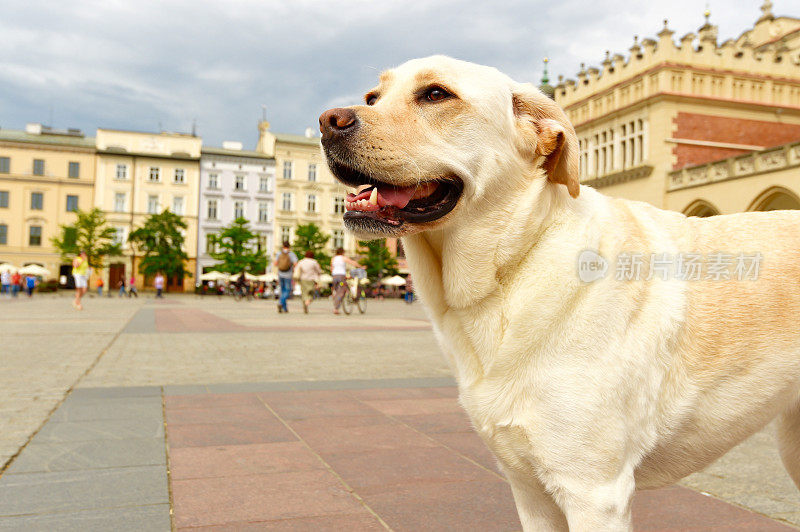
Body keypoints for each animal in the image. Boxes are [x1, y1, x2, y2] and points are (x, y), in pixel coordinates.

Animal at [318, 56, 800, 528]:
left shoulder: (594, 491)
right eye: (372, 97)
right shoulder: (528, 488)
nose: (328, 120)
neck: (510, 272)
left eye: (436, 94)